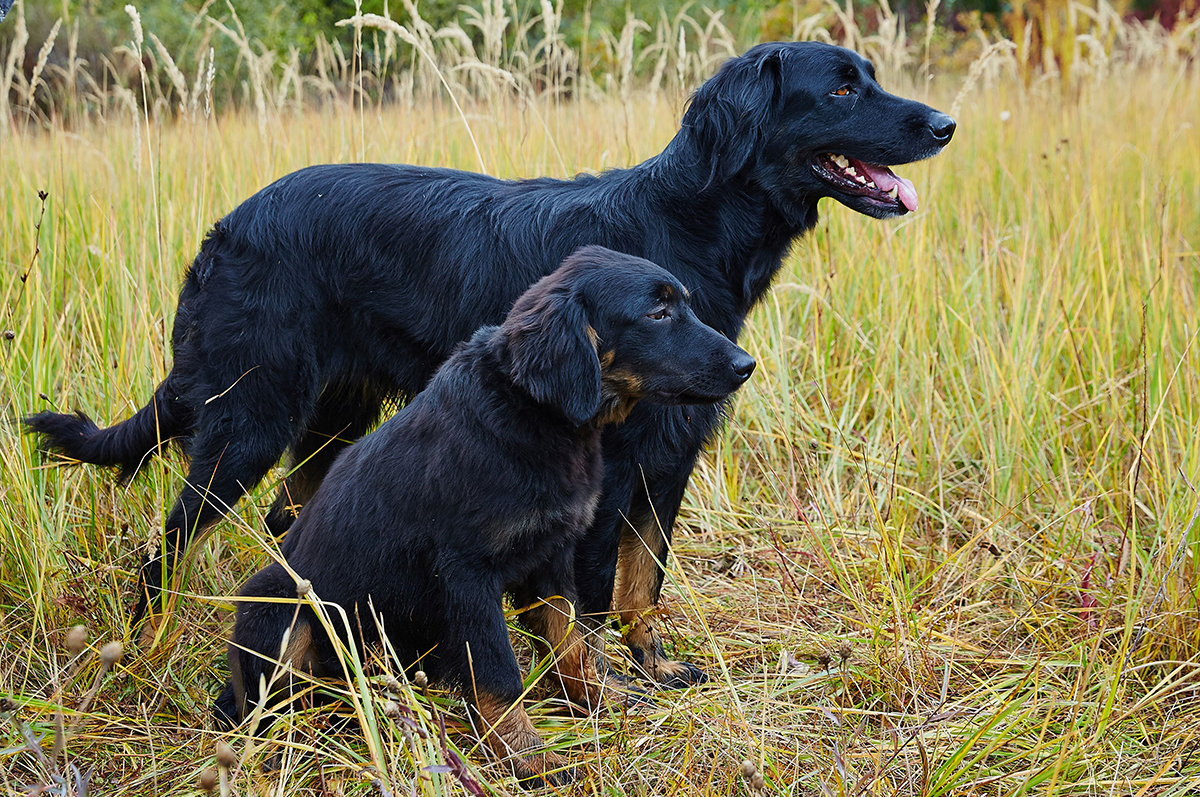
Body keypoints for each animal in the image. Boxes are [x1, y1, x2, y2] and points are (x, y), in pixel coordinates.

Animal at [25, 40, 955, 681]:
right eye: (841, 88)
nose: (947, 125)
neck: (687, 225)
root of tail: (225, 229)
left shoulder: (671, 453)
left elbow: (643, 581)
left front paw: (654, 667)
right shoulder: (613, 458)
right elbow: (590, 592)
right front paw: (598, 686)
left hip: (335, 422)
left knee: (290, 521)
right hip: (247, 421)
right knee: (169, 546)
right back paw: (145, 646)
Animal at [214, 247, 753, 782]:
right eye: (657, 313)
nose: (746, 365)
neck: (531, 410)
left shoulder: (552, 558)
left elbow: (571, 640)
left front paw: (602, 697)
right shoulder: (466, 575)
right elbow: (499, 672)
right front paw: (529, 756)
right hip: (280, 604)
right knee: (261, 701)